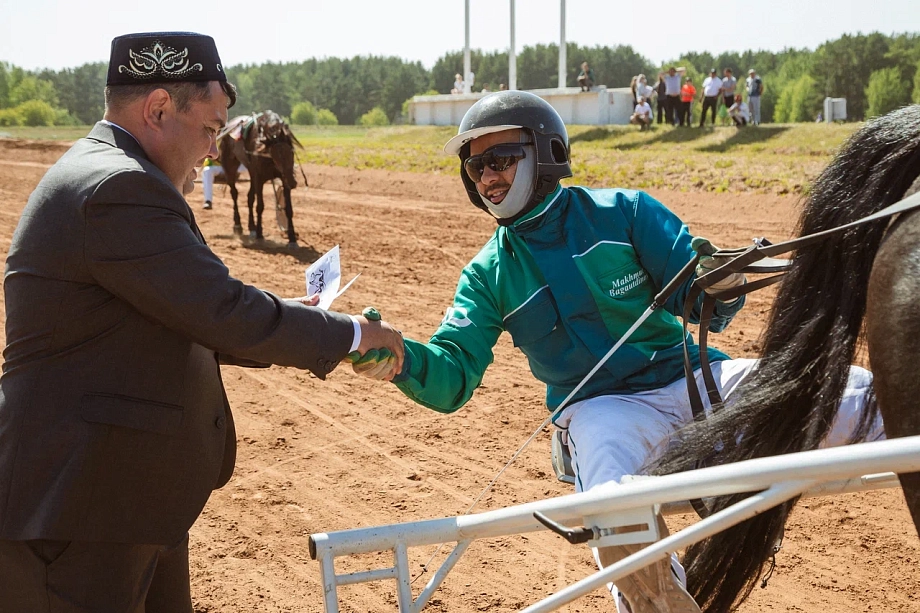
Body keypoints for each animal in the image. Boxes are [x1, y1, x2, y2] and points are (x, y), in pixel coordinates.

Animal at [217, 110, 304, 246]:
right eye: (276, 155)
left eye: (291, 151)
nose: (293, 182)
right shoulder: (259, 178)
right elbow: (260, 206)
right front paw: (259, 234)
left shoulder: (282, 178)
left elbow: (289, 209)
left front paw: (292, 238)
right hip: (229, 165)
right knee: (234, 193)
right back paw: (238, 225)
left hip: (251, 172)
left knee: (249, 197)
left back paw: (251, 227)